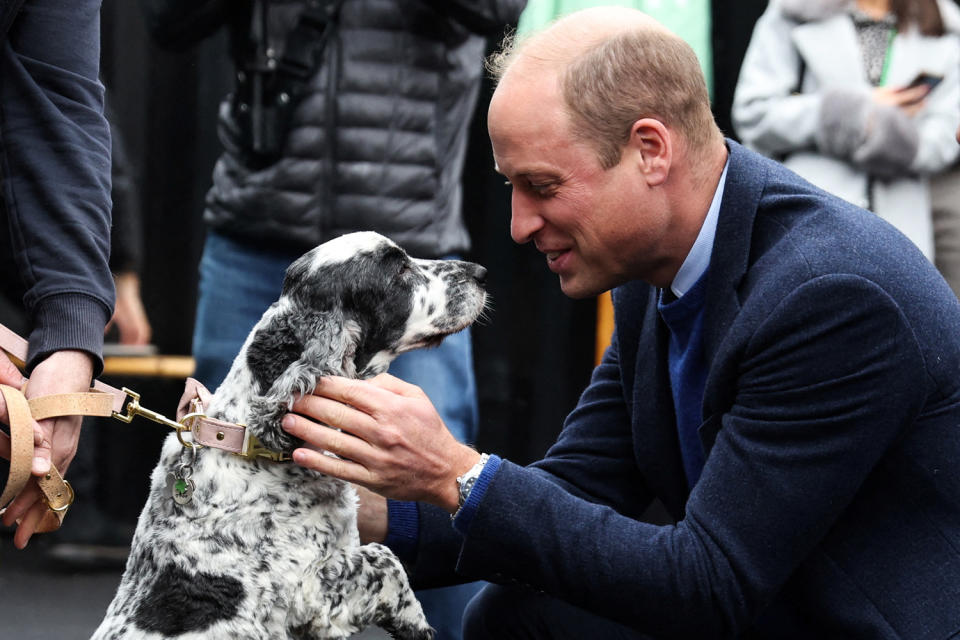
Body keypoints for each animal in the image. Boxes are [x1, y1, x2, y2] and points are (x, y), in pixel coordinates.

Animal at [94, 234, 488, 640]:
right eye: (399, 270)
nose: (481, 272)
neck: (248, 438)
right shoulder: (311, 592)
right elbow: (385, 559)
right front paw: (414, 623)